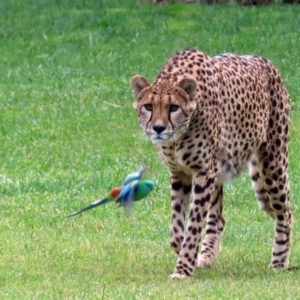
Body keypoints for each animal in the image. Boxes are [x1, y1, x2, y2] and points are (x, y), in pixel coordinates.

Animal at [130, 48, 292, 280]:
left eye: (174, 107)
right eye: (148, 106)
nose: (159, 128)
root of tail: (265, 61)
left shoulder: (204, 171)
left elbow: (194, 224)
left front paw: (183, 270)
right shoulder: (180, 173)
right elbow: (176, 230)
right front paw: (190, 257)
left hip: (273, 163)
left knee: (286, 212)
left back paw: (279, 262)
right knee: (219, 218)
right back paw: (206, 257)